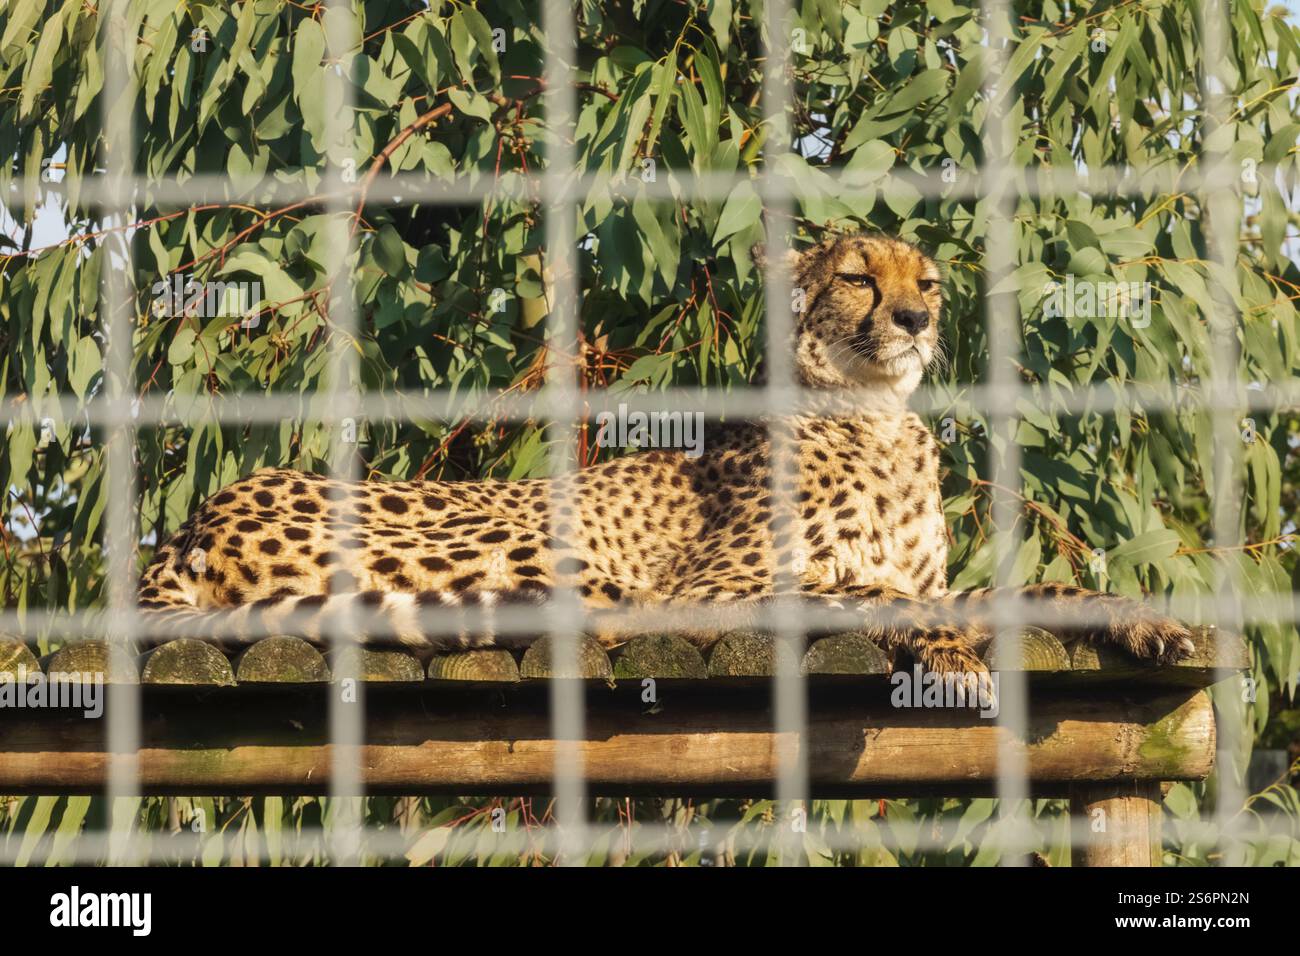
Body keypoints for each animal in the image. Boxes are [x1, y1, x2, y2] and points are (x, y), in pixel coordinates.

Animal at [137, 232, 1195, 678]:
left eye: (926, 281)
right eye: (859, 277)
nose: (917, 319)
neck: (876, 414)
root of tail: (200, 514)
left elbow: (1025, 590)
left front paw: (1145, 619)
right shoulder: (713, 588)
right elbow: (873, 593)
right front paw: (942, 649)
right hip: (550, 563)